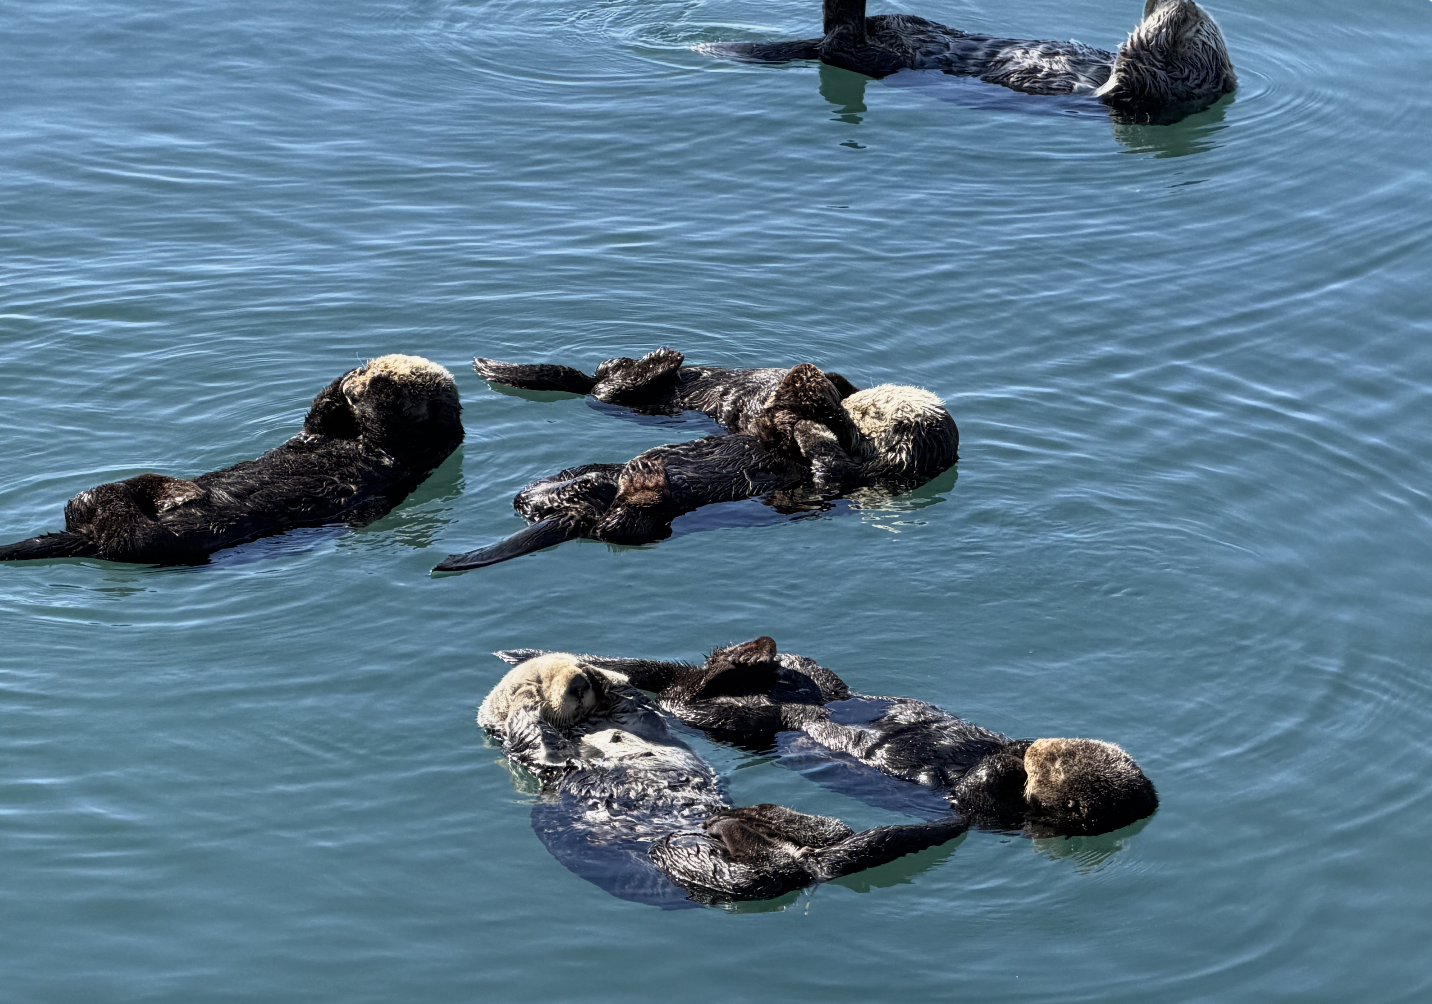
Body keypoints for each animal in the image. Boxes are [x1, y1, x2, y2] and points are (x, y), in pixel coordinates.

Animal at [0, 355, 463, 565]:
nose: (358, 384)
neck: (353, 440)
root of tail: (88, 537)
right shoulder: (319, 434)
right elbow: (316, 418)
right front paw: (345, 379)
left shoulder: (407, 451)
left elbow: (389, 424)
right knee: (86, 500)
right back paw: (174, 489)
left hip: (156, 542)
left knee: (123, 526)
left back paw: (173, 496)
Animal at [436, 361, 957, 570]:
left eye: (874, 410)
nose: (850, 404)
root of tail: (573, 511)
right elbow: (770, 424)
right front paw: (812, 388)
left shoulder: (853, 477)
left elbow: (823, 466)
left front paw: (814, 415)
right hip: (564, 480)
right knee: (537, 492)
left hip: (645, 524)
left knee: (621, 524)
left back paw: (643, 480)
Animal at [481, 653, 968, 906]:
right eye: (540, 685)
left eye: (574, 677)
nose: (578, 684)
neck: (586, 726)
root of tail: (805, 860)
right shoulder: (533, 754)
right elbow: (529, 734)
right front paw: (528, 705)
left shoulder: (631, 714)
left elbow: (630, 700)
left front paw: (600, 675)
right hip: (680, 856)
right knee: (759, 875)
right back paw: (735, 826)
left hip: (787, 841)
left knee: (821, 838)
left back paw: (753, 817)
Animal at [494, 638, 1158, 837]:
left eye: (1052, 766)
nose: (1035, 749)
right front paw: (1015, 744)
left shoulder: (993, 811)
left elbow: (978, 792)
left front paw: (1011, 760)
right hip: (818, 681)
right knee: (802, 675)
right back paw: (755, 651)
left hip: (740, 720)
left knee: (695, 696)